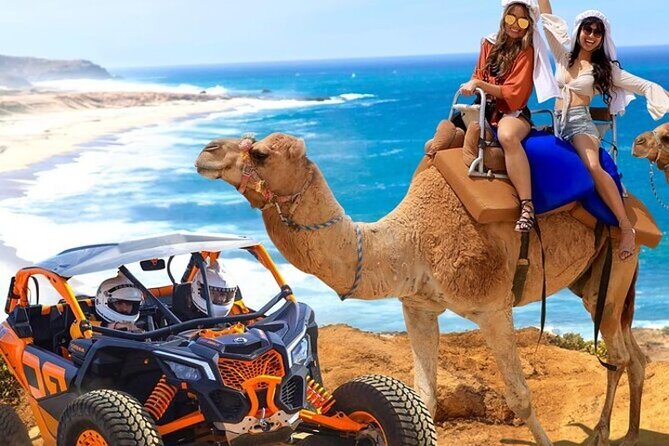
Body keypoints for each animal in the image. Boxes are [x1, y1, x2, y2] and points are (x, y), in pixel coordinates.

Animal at [195, 132, 646, 446]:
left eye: (259, 153)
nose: (207, 152)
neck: (411, 242)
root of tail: (631, 201)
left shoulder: (492, 307)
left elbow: (520, 396)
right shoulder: (418, 305)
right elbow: (425, 397)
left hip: (619, 261)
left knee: (617, 354)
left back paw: (602, 433)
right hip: (593, 281)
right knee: (633, 352)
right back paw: (630, 432)